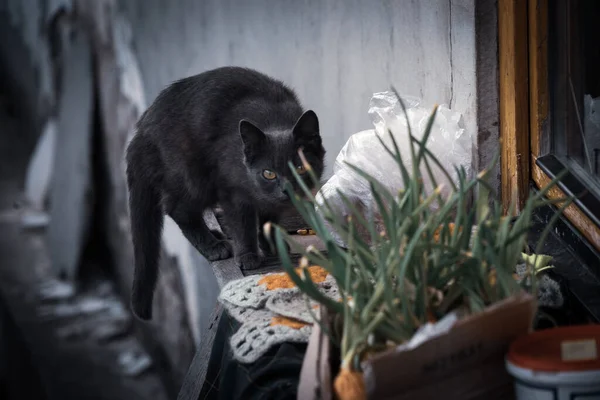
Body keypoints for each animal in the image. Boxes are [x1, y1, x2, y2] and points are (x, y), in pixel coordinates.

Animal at [123, 67, 326, 320]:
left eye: (300, 168)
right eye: (268, 173)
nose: (286, 189)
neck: (274, 120)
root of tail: (142, 129)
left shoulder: (268, 200)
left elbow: (269, 217)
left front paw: (271, 243)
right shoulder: (232, 191)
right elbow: (242, 223)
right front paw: (249, 255)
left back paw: (215, 234)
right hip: (191, 175)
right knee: (177, 208)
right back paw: (213, 246)